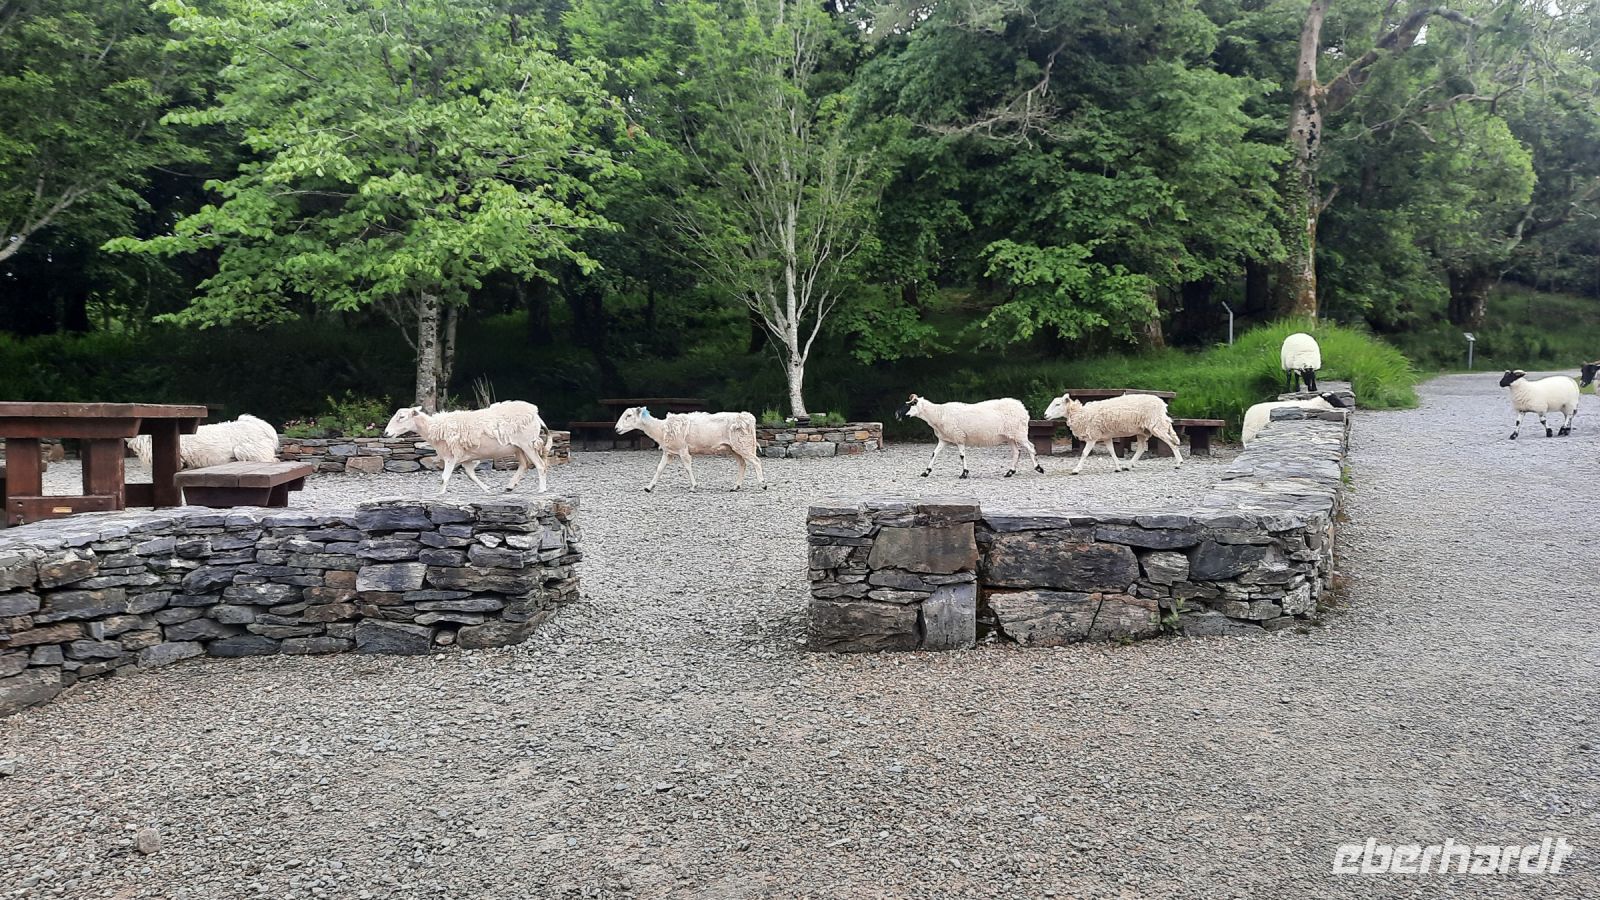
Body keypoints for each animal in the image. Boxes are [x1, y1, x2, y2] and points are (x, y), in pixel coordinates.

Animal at [384, 400, 552, 494]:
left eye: (402, 417)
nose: (386, 433)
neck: (434, 427)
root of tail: (535, 414)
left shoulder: (452, 455)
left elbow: (444, 478)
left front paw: (440, 494)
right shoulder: (466, 457)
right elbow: (471, 475)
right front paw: (487, 489)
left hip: (527, 443)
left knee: (540, 465)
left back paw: (542, 489)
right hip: (517, 447)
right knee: (524, 465)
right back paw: (510, 486)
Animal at [614, 407, 765, 493]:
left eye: (629, 415)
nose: (616, 429)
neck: (660, 429)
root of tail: (747, 418)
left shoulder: (682, 449)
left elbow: (687, 467)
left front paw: (693, 486)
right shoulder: (668, 451)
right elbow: (659, 468)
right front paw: (649, 487)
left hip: (742, 444)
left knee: (756, 461)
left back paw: (762, 484)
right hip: (734, 447)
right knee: (742, 464)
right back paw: (735, 486)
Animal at [894, 394, 1041, 479]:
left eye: (911, 404)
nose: (896, 414)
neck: (938, 414)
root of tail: (1023, 408)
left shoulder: (959, 437)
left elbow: (962, 456)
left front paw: (964, 473)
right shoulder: (944, 439)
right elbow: (934, 454)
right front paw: (926, 472)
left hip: (1019, 433)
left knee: (1031, 447)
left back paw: (1038, 468)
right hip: (1010, 436)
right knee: (1017, 452)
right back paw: (1010, 472)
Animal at [1043, 392, 1182, 475]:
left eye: (1057, 404)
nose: (1045, 415)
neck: (1081, 414)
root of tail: (1162, 405)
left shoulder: (1093, 435)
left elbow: (1084, 453)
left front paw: (1076, 469)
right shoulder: (1106, 436)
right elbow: (1112, 451)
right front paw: (1118, 467)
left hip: (1156, 425)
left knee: (1172, 442)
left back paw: (1178, 463)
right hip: (1143, 430)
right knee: (1141, 448)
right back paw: (1128, 465)